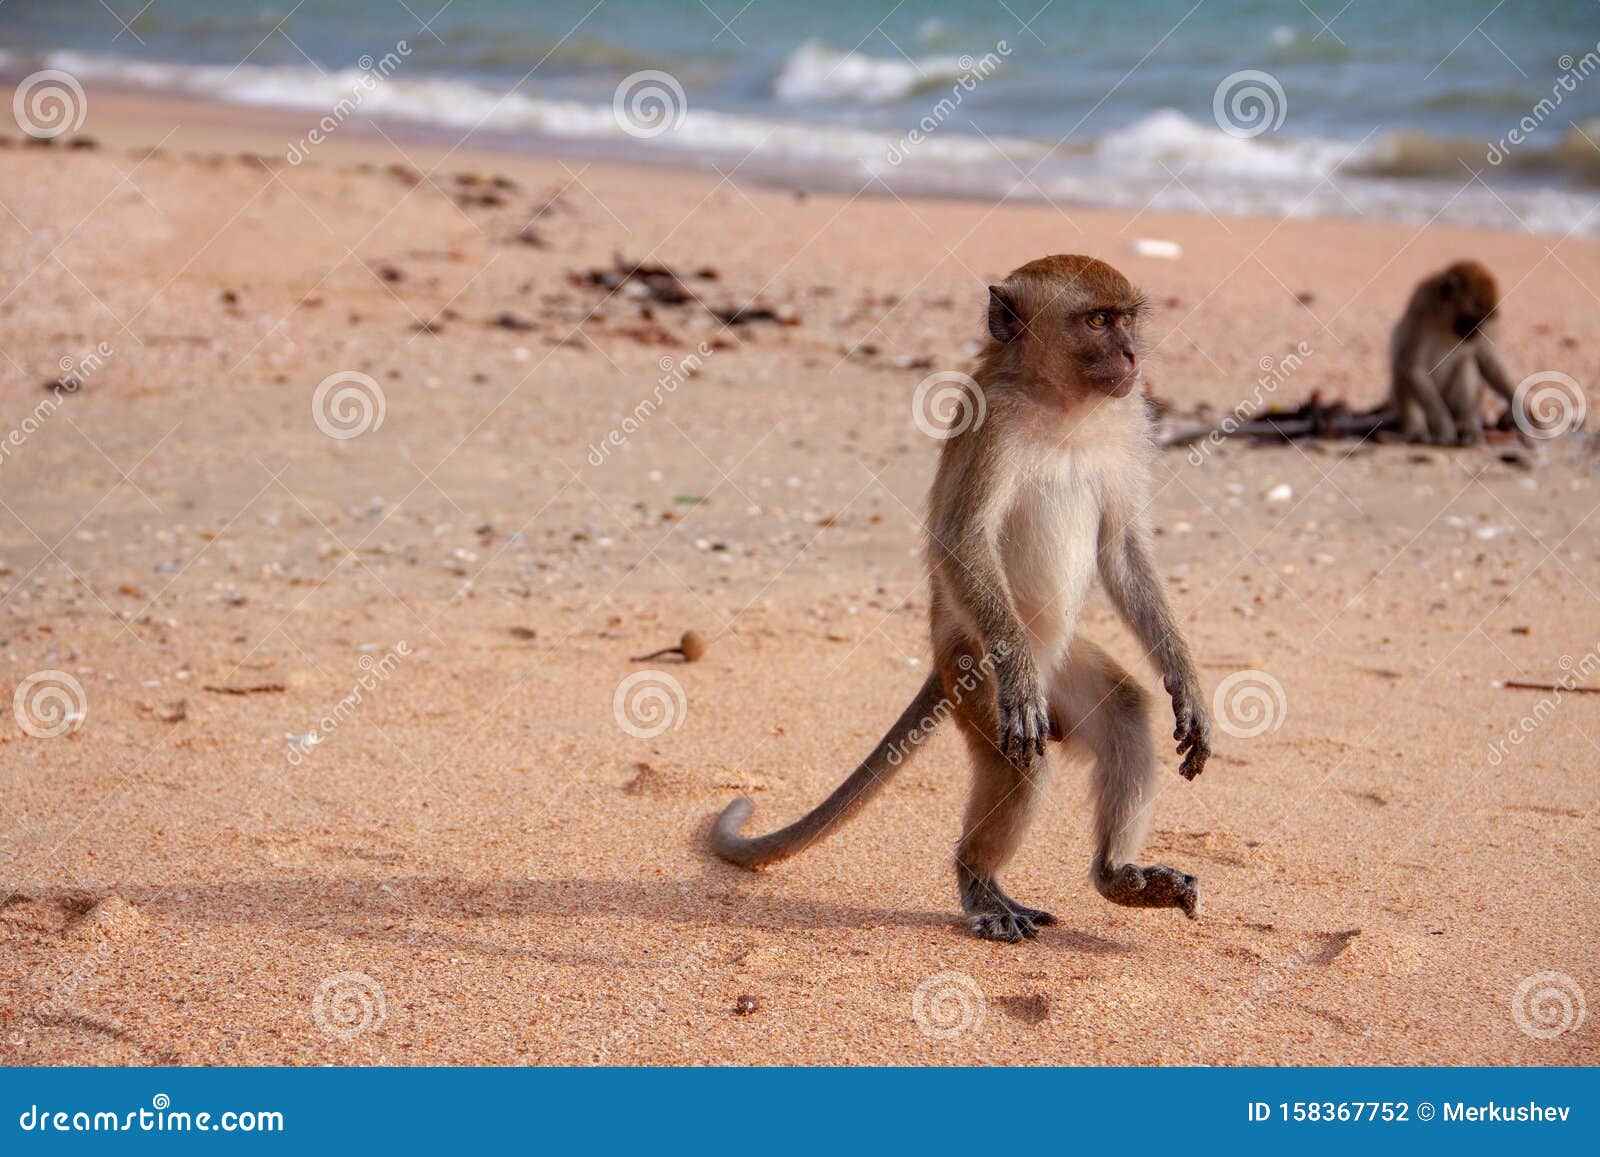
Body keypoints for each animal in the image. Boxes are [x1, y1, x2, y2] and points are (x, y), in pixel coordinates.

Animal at [713, 252, 1209, 940]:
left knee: (1124, 710)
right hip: (974, 670)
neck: (1061, 404)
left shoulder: (1130, 417)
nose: (1133, 356)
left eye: (1127, 319)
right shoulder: (991, 424)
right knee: (1020, 763)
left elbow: (1122, 549)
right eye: (1097, 321)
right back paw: (979, 880)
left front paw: (1185, 682)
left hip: (1058, 665)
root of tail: (941, 659)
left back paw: (1116, 875)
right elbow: (962, 539)